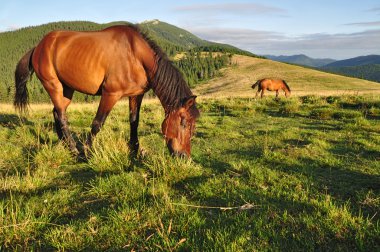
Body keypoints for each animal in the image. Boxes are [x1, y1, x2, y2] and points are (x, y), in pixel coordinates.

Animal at [13, 24, 200, 158]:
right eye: (183, 123)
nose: (184, 157)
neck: (135, 56)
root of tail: (38, 46)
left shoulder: (136, 95)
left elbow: (134, 121)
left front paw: (135, 151)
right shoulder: (110, 94)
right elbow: (98, 123)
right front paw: (87, 152)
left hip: (66, 89)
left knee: (57, 113)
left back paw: (65, 143)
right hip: (53, 85)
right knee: (62, 115)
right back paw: (74, 149)